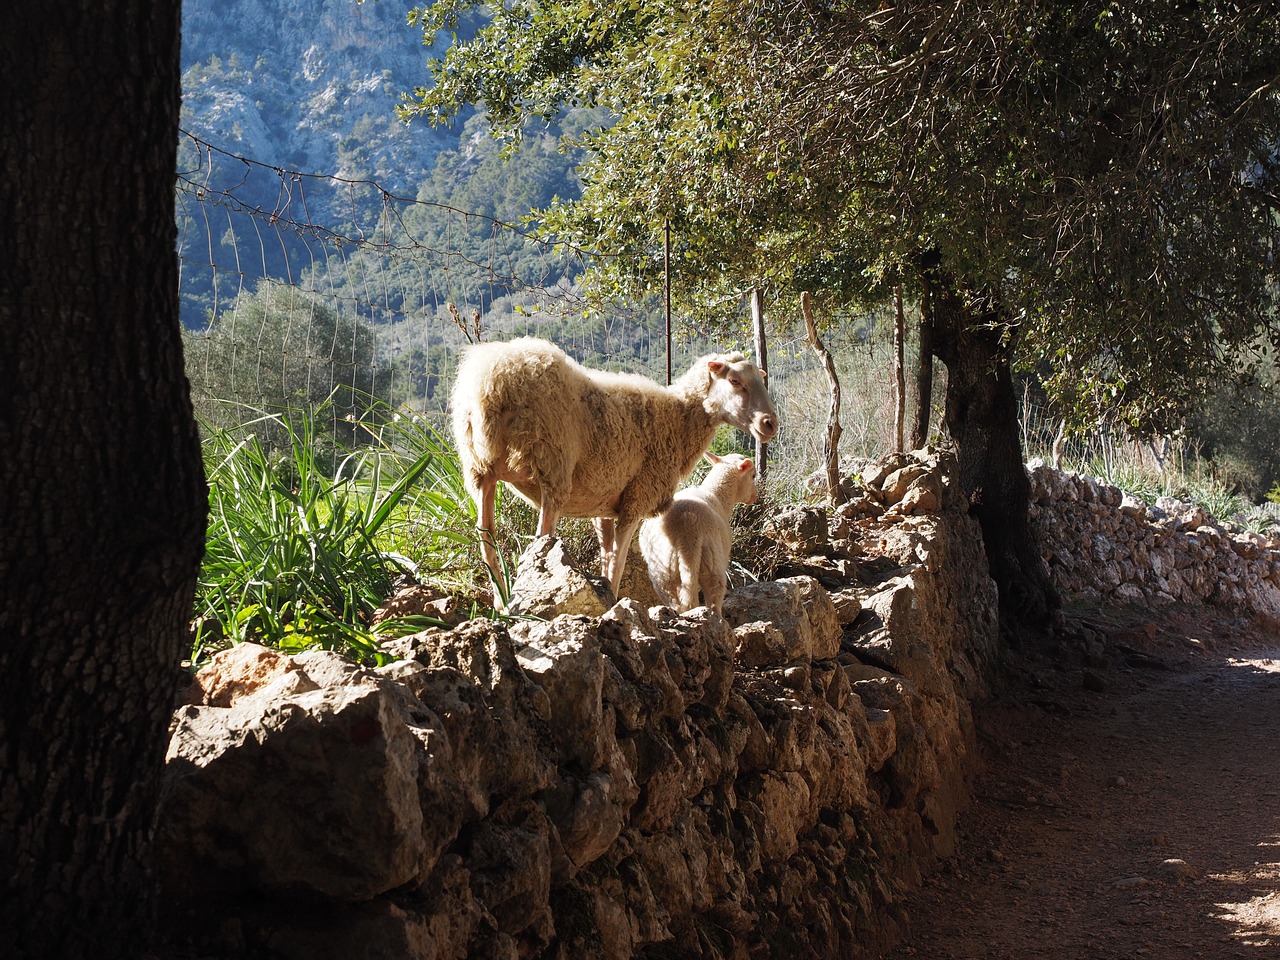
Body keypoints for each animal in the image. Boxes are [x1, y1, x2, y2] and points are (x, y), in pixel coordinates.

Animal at [450, 335, 773, 599]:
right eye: (735, 381)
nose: (770, 423)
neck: (678, 419)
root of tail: (490, 379)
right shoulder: (637, 499)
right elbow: (618, 562)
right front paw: (614, 601)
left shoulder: (602, 506)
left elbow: (607, 559)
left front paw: (605, 595)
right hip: (552, 466)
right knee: (542, 536)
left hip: (480, 470)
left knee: (486, 539)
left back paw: (502, 603)